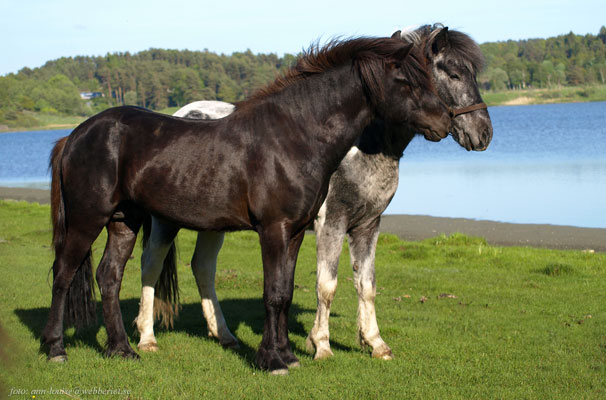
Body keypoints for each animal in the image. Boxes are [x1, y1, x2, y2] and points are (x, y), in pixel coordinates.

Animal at [41, 36, 452, 374]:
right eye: (406, 81)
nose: (445, 122)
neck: (293, 136)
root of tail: (75, 134)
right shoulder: (274, 230)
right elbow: (273, 294)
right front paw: (272, 361)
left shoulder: (296, 233)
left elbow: (285, 293)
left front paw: (286, 355)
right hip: (88, 219)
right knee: (64, 274)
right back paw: (57, 349)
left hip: (124, 221)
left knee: (109, 276)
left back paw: (122, 350)